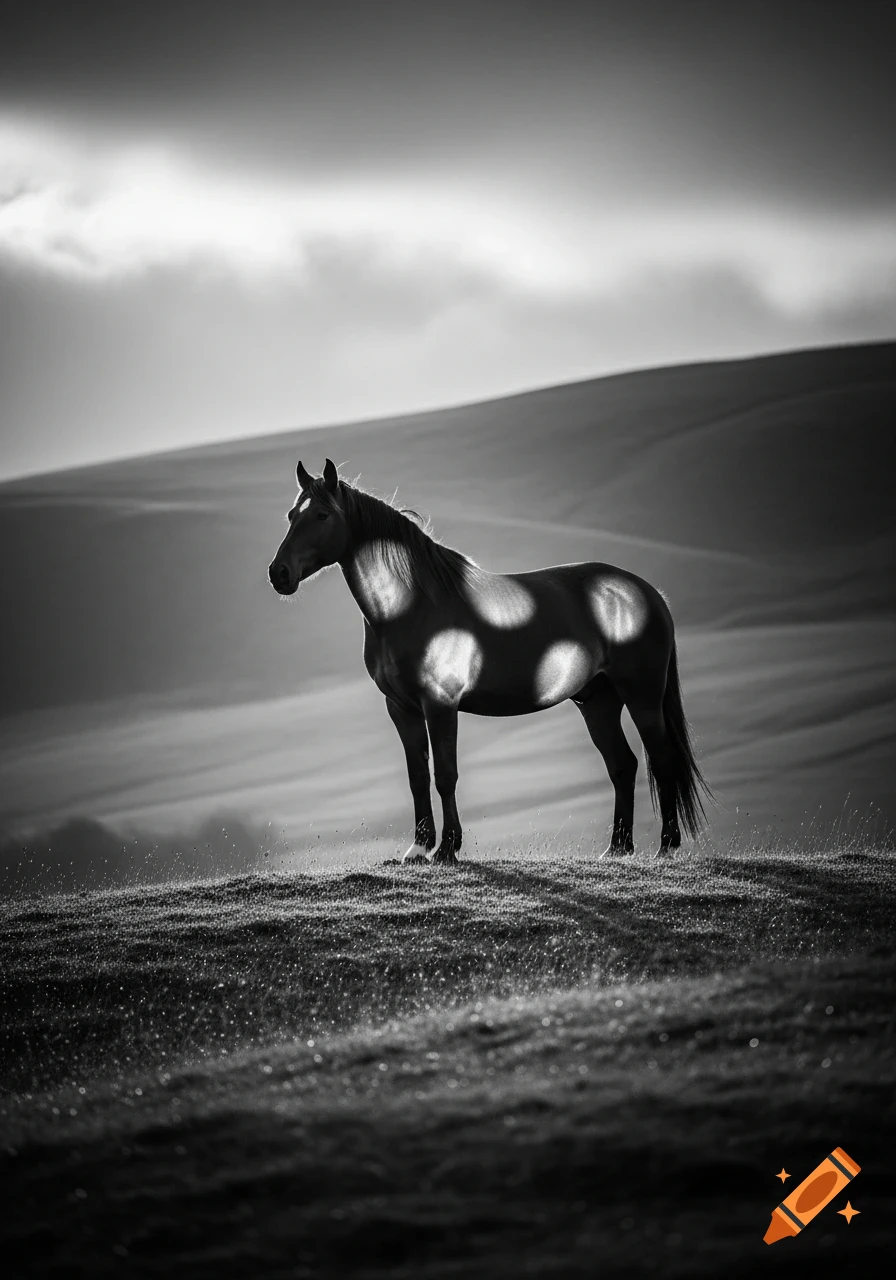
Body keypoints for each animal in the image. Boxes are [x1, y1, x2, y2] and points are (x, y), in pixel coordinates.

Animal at [268, 459, 712, 865]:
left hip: (642, 697)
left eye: (322, 514)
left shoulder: (440, 705)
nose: (279, 573)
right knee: (623, 765)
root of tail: (647, 592)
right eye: (291, 515)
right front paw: (418, 849)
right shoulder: (401, 708)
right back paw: (617, 849)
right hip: (597, 701)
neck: (411, 607)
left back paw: (666, 848)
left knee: (662, 759)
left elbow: (445, 775)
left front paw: (447, 849)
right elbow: (417, 777)